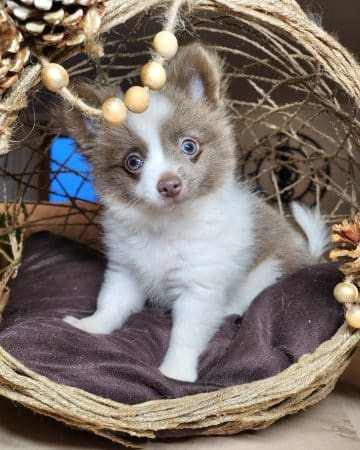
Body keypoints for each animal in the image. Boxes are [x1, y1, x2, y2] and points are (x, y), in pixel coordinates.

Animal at [59, 42, 330, 382]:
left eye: (189, 147)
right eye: (133, 162)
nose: (169, 185)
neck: (165, 224)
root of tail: (310, 255)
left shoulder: (199, 289)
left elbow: (185, 335)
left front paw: (175, 372)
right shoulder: (127, 271)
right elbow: (110, 303)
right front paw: (90, 327)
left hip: (267, 274)